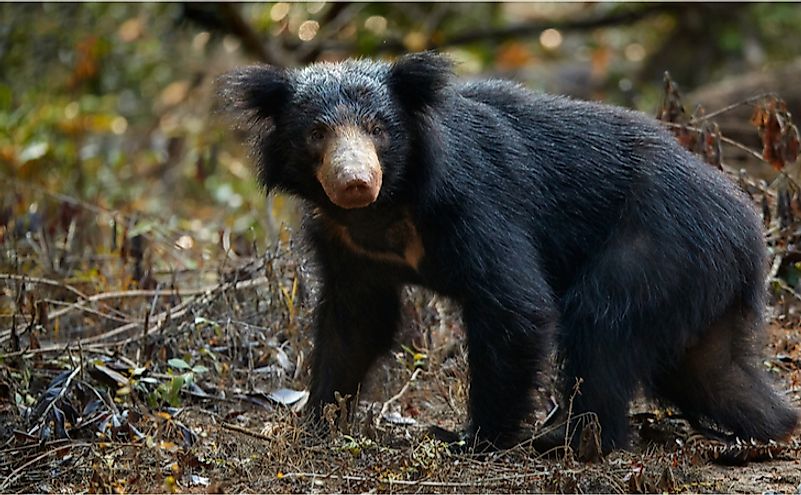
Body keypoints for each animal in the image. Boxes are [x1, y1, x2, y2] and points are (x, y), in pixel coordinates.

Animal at [218, 51, 798, 453]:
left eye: (378, 131)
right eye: (318, 134)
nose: (355, 182)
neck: (389, 207)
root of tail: (749, 227)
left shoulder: (474, 204)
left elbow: (514, 305)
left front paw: (474, 440)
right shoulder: (347, 245)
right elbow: (354, 325)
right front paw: (317, 421)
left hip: (654, 245)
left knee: (601, 324)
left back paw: (574, 441)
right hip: (693, 279)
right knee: (711, 369)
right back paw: (771, 427)